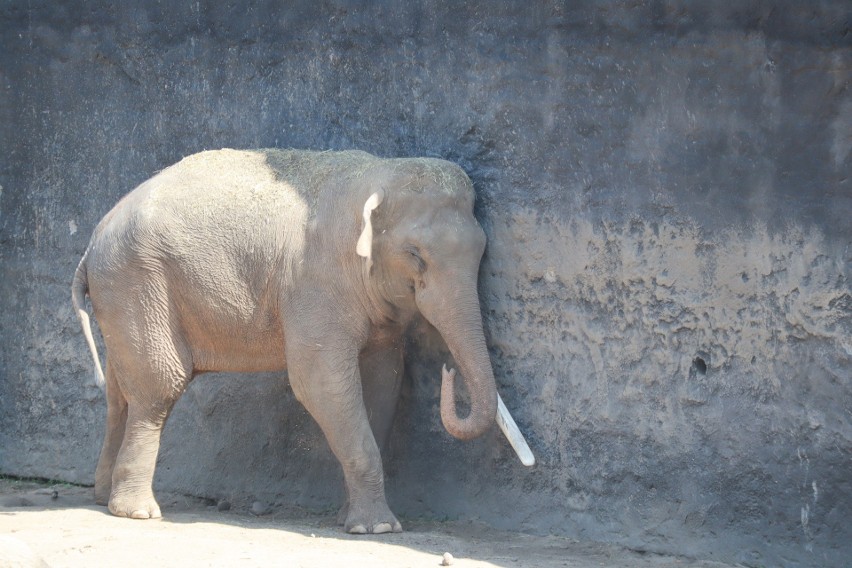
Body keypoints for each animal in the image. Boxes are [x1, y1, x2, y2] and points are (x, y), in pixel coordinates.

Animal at [73, 149, 528, 536]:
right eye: (415, 255)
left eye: (482, 252)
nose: (448, 370)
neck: (377, 173)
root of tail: (91, 243)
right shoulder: (314, 283)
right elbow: (320, 383)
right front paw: (379, 528)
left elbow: (384, 381)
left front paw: (353, 519)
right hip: (136, 284)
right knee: (158, 388)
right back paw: (137, 512)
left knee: (119, 394)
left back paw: (103, 497)